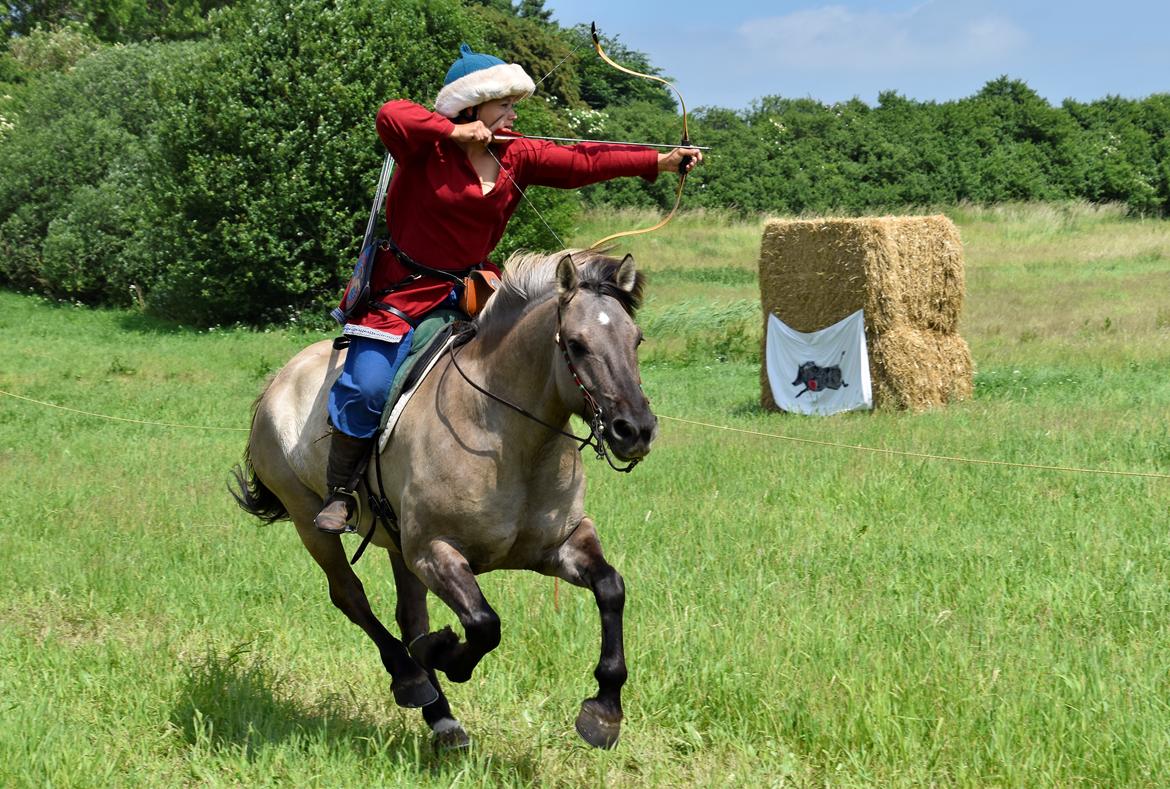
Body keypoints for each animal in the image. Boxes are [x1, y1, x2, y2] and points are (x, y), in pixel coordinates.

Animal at [228, 251, 659, 749]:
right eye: (576, 343)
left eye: (636, 339)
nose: (636, 429)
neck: (506, 439)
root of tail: (278, 381)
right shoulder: (434, 552)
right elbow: (484, 625)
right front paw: (443, 653)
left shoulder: (559, 546)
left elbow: (611, 587)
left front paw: (604, 710)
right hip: (309, 521)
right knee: (350, 596)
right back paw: (412, 677)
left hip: (395, 540)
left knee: (408, 615)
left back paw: (442, 718)